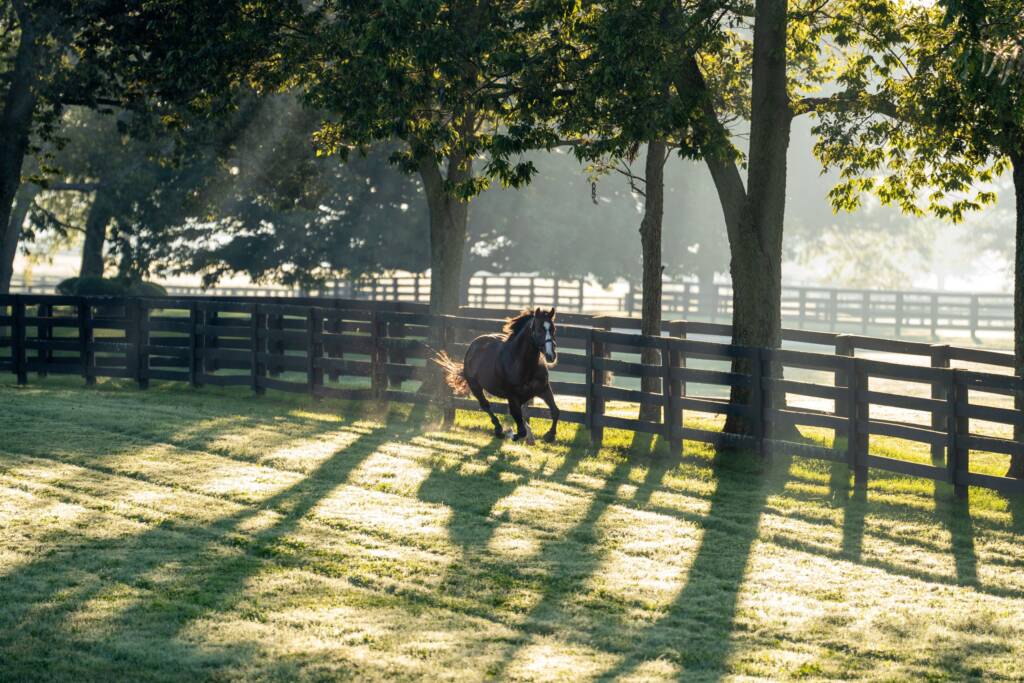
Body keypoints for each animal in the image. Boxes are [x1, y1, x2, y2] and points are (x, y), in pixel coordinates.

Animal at [432, 309, 561, 446]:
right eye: (539, 330)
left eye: (553, 329)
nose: (551, 356)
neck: (522, 364)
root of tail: (473, 345)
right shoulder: (512, 397)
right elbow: (520, 429)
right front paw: (511, 434)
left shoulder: (544, 389)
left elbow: (555, 411)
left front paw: (549, 436)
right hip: (475, 386)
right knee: (485, 405)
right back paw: (499, 430)